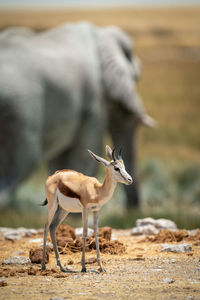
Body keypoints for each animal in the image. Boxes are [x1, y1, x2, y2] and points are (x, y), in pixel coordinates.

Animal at [0, 21, 155, 209]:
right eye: (135, 77)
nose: (133, 210)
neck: (100, 32)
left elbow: (60, 158)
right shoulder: (94, 101)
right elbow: (85, 152)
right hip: (20, 108)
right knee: (23, 160)